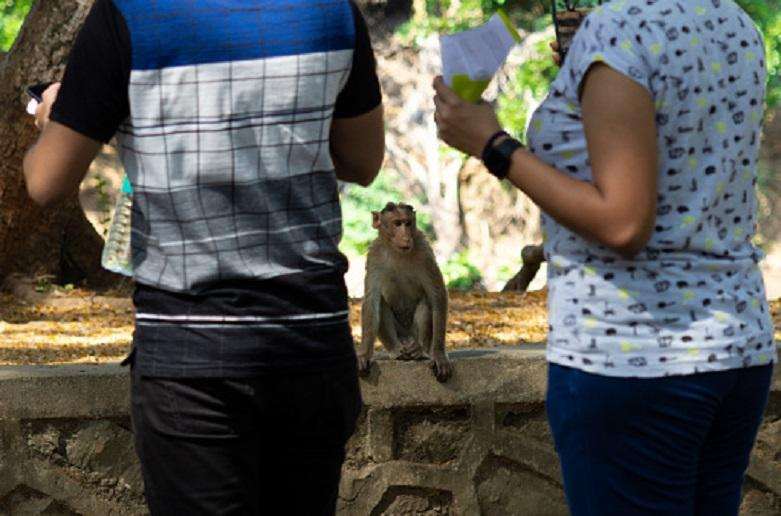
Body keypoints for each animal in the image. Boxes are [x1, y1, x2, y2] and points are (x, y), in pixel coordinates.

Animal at [358, 202, 453, 382]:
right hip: (400, 335)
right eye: (397, 223)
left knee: (426, 302)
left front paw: (439, 355)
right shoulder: (374, 255)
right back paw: (397, 351)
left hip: (414, 335)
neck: (396, 252)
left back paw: (419, 350)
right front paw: (365, 354)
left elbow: (437, 295)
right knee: (381, 304)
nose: (406, 236)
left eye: (408, 223)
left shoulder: (424, 250)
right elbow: (371, 301)